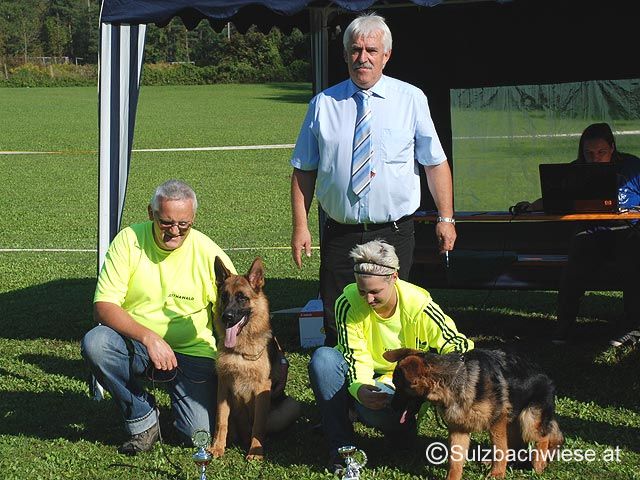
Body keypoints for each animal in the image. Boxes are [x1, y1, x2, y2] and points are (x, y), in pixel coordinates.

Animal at [208, 256, 299, 460]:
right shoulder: (223, 386)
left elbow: (258, 424)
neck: (239, 351)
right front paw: (217, 447)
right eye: (224, 296)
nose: (227, 317)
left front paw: (255, 452)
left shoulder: (261, 389)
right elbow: (220, 420)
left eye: (242, 297)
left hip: (290, 405)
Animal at [383, 348, 563, 480]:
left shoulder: (497, 423)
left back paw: (538, 465)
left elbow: (500, 449)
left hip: (529, 419)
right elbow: (455, 461)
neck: (454, 382)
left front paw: (497, 474)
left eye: (400, 388)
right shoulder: (459, 430)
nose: (391, 406)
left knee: (543, 437)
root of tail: (545, 375)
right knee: (517, 444)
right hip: (513, 420)